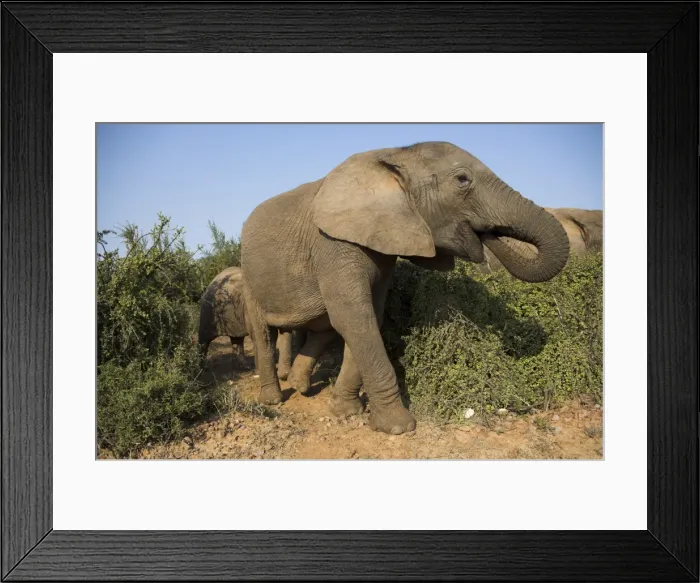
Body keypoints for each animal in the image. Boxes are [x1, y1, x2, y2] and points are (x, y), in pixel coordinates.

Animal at [240, 141, 570, 435]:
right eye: (462, 180)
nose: (488, 235)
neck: (392, 156)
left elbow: (369, 315)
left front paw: (347, 412)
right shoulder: (332, 244)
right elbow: (355, 319)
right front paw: (399, 428)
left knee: (322, 328)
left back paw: (300, 387)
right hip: (249, 279)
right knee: (264, 334)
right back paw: (274, 399)